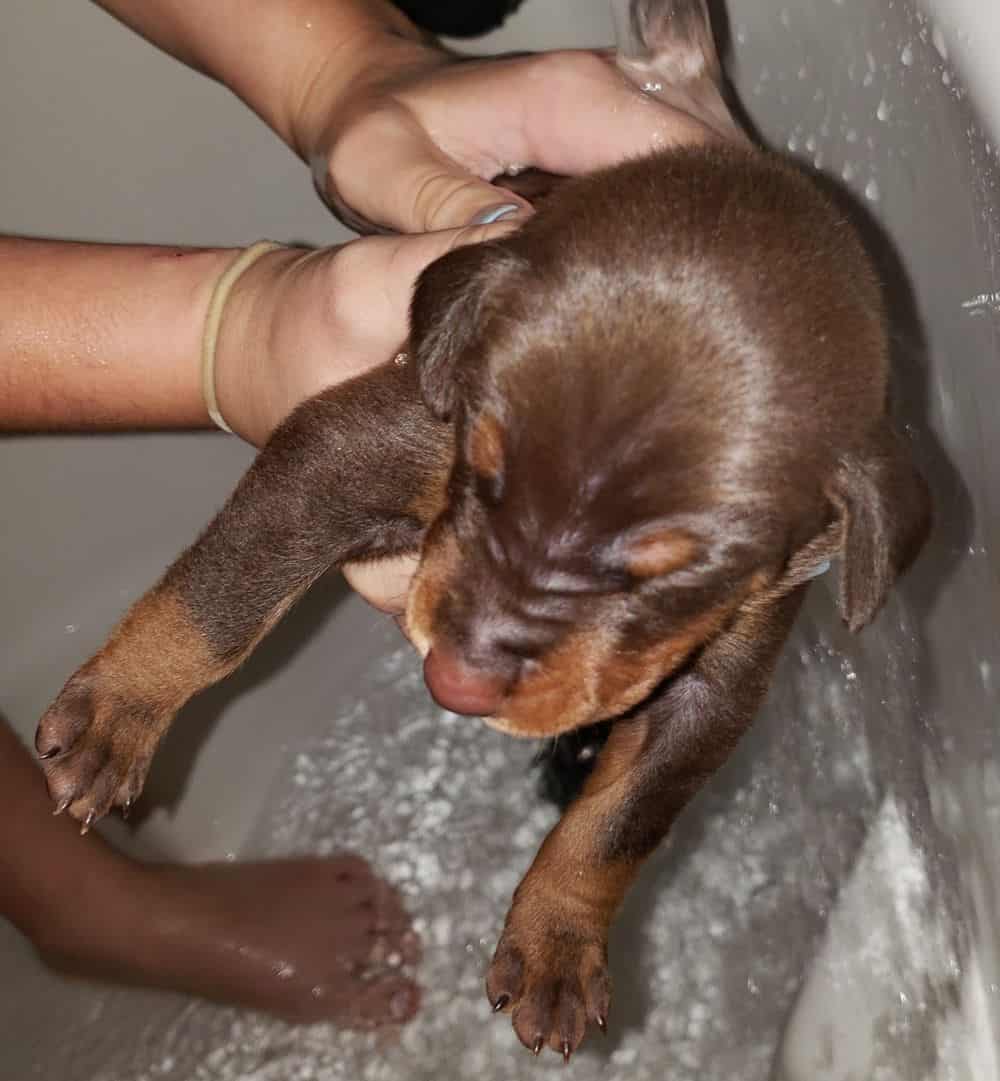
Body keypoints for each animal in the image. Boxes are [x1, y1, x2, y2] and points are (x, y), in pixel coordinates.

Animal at [37, 0, 929, 1063]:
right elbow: (220, 596)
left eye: (668, 576)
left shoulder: (729, 666)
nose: (453, 683)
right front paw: (118, 712)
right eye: (484, 469)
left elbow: (618, 820)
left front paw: (556, 943)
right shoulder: (347, 447)